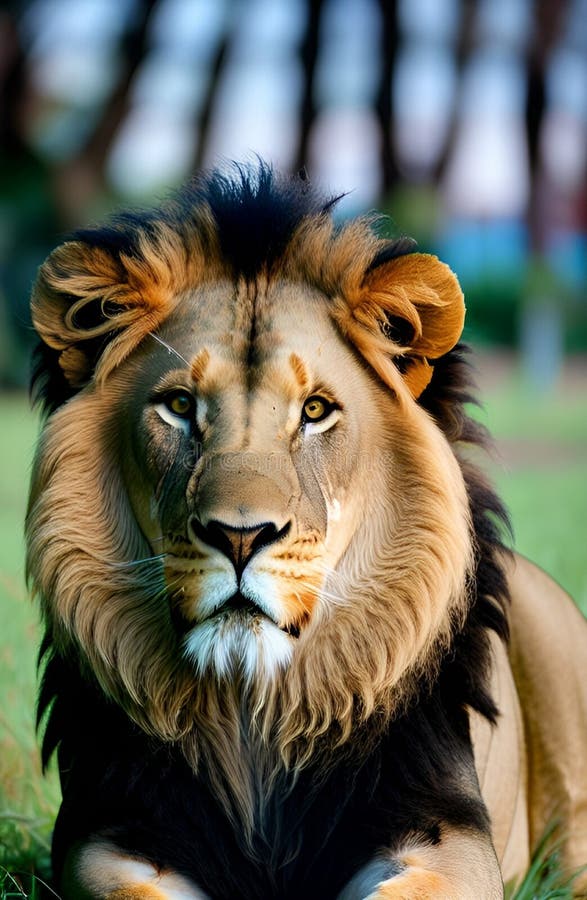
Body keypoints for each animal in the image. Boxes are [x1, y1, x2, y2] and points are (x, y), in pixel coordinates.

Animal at [26, 162, 587, 899]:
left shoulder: (451, 835)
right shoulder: (106, 838)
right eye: (179, 406)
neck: (251, 718)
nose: (239, 537)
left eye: (316, 411)